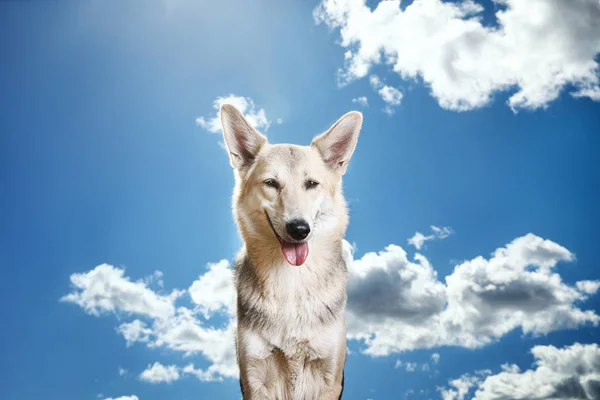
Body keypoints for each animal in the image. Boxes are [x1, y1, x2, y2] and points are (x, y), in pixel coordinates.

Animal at [219, 104, 360, 400]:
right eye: (271, 183)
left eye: (311, 184)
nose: (299, 229)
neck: (292, 283)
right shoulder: (255, 378)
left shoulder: (328, 378)